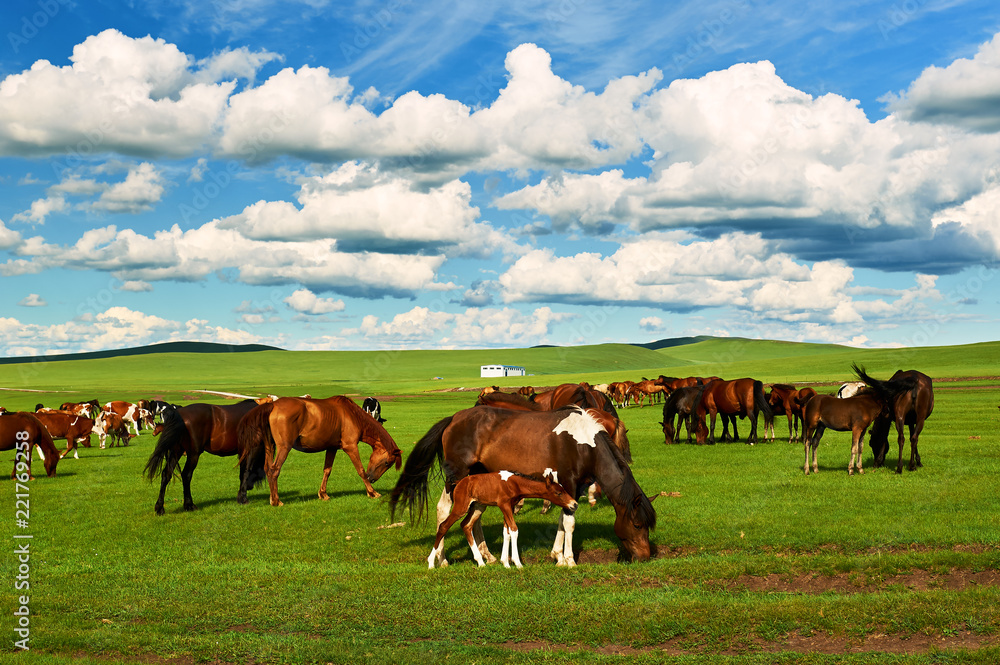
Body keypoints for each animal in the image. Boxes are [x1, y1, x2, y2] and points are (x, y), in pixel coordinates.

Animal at [238, 392, 402, 506]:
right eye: (387, 463)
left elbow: (327, 471)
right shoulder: (350, 447)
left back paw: (273, 499)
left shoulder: (332, 448)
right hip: (284, 447)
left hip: (270, 446)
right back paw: (277, 501)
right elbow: (360, 470)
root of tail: (273, 404)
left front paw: (323, 494)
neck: (352, 415)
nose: (372, 479)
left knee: (267, 469)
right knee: (274, 470)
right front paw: (372, 492)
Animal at [428, 466, 580, 572]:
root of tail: (459, 483)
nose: (574, 504)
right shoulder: (504, 505)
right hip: (461, 507)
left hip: (478, 507)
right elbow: (514, 530)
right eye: (558, 493)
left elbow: (506, 532)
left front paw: (506, 563)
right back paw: (431, 563)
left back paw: (480, 562)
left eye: (564, 490)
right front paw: (517, 563)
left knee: (466, 525)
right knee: (443, 526)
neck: (515, 484)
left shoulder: (510, 507)